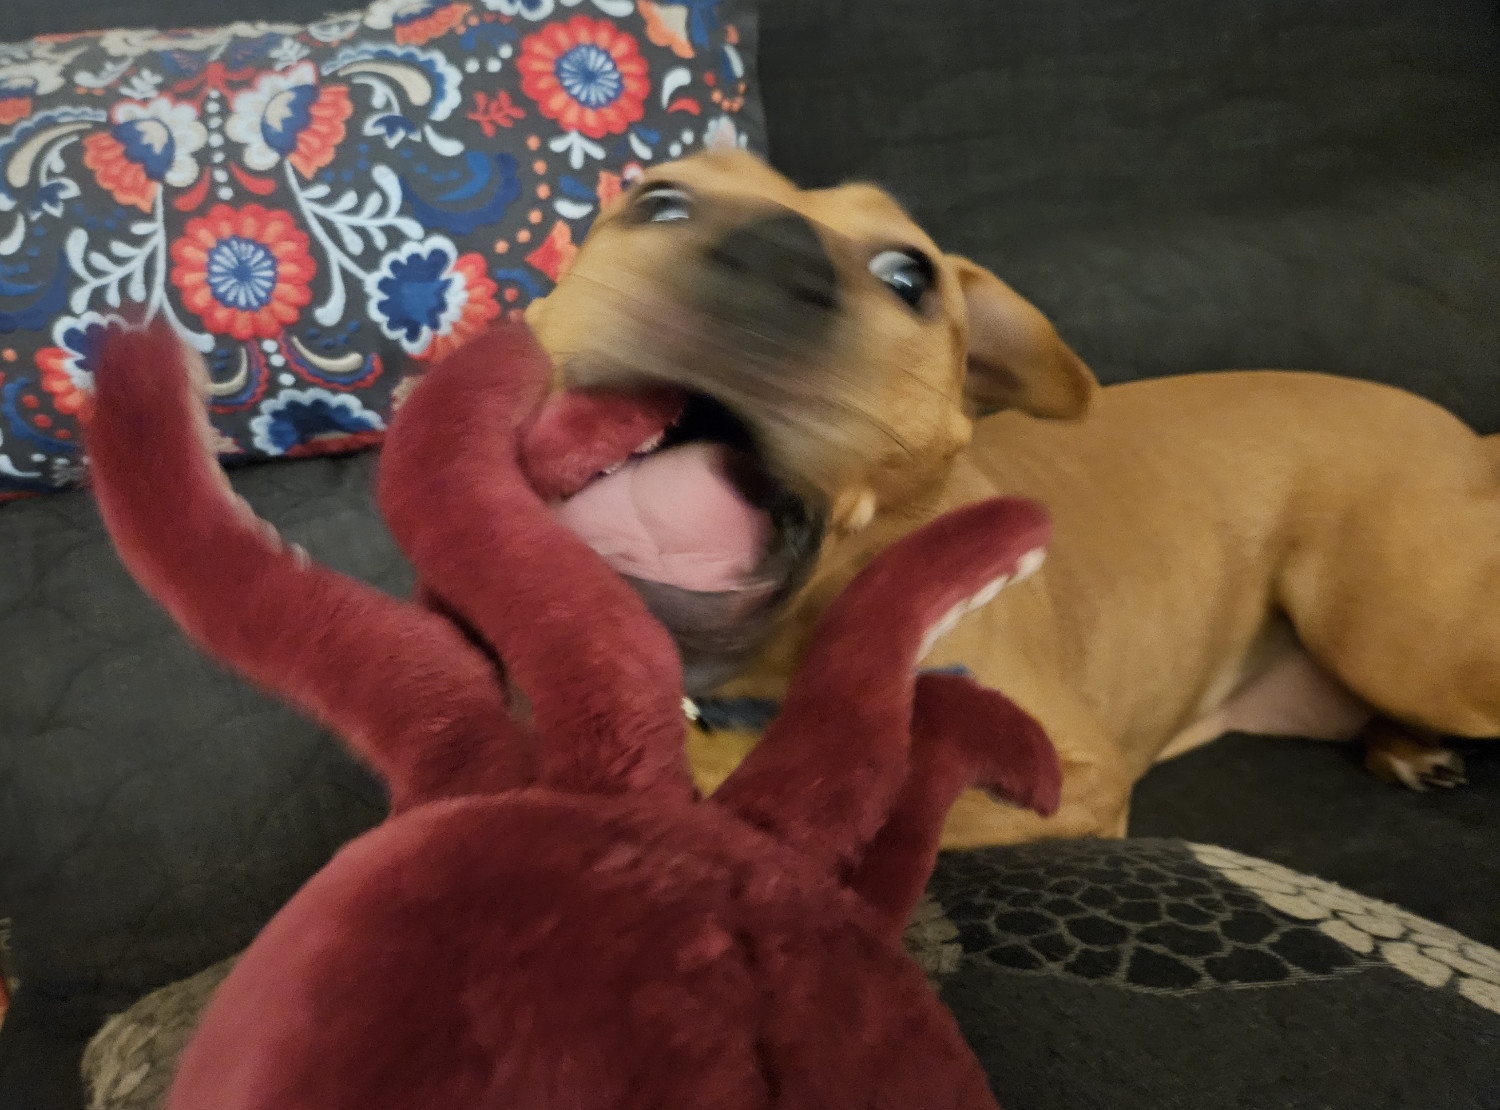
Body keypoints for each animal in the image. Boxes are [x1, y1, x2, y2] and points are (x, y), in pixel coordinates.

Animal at [528, 145, 1500, 840]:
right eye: (659, 202)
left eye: (908, 276)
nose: (773, 251)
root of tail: (1473, 440)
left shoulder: (1069, 778)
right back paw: (1404, 748)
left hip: (1396, 640)